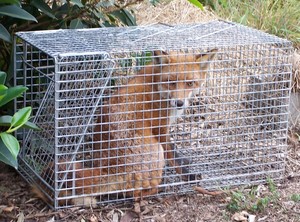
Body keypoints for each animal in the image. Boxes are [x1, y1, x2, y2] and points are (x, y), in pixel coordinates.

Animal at [32, 48, 217, 206]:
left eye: (190, 83)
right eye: (171, 82)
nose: (179, 103)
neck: (157, 86)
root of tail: (109, 168)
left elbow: (177, 153)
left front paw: (186, 161)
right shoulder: (160, 129)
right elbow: (173, 156)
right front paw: (188, 175)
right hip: (156, 151)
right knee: (135, 194)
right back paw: (159, 189)